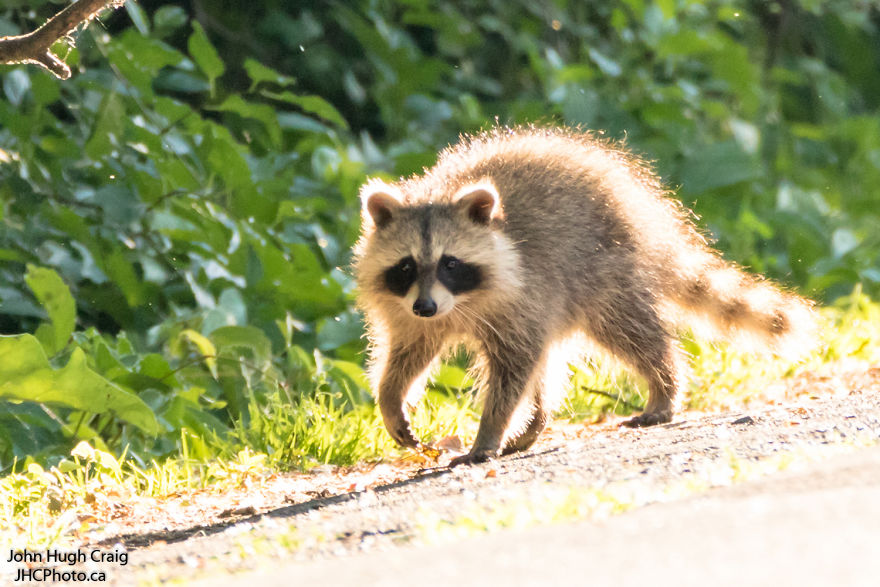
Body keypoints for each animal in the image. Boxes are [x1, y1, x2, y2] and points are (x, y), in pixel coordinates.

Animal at [353, 126, 815, 466]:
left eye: (450, 263)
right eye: (407, 266)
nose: (425, 306)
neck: (460, 304)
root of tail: (647, 213)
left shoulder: (523, 293)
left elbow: (513, 370)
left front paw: (489, 431)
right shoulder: (412, 311)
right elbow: (407, 353)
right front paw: (391, 398)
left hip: (604, 271)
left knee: (630, 333)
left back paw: (663, 385)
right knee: (551, 359)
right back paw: (537, 421)